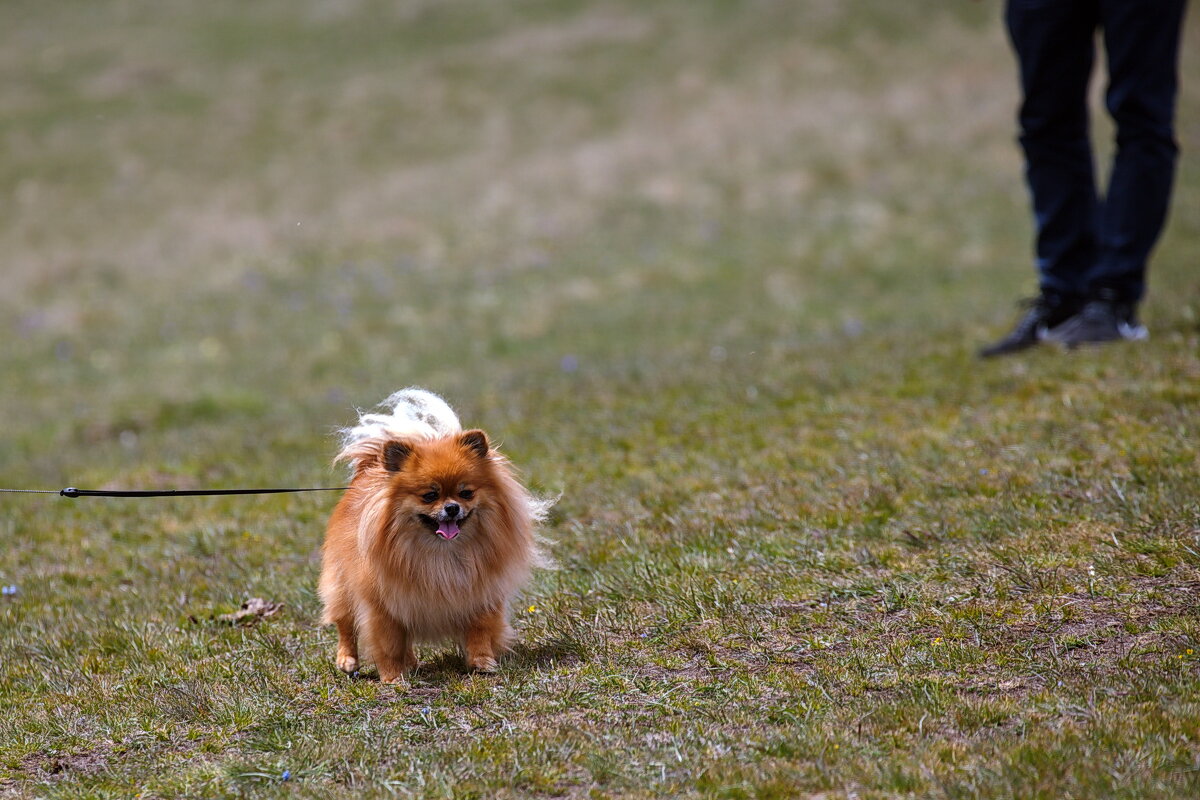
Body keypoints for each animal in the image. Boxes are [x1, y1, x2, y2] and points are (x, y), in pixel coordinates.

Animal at [314, 388, 549, 681]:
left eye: (466, 493)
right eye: (429, 496)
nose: (452, 507)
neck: (442, 554)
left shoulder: (481, 595)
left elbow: (480, 632)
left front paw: (482, 663)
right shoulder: (383, 605)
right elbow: (388, 644)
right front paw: (392, 677)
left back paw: (411, 663)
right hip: (342, 585)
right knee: (345, 625)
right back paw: (348, 661)